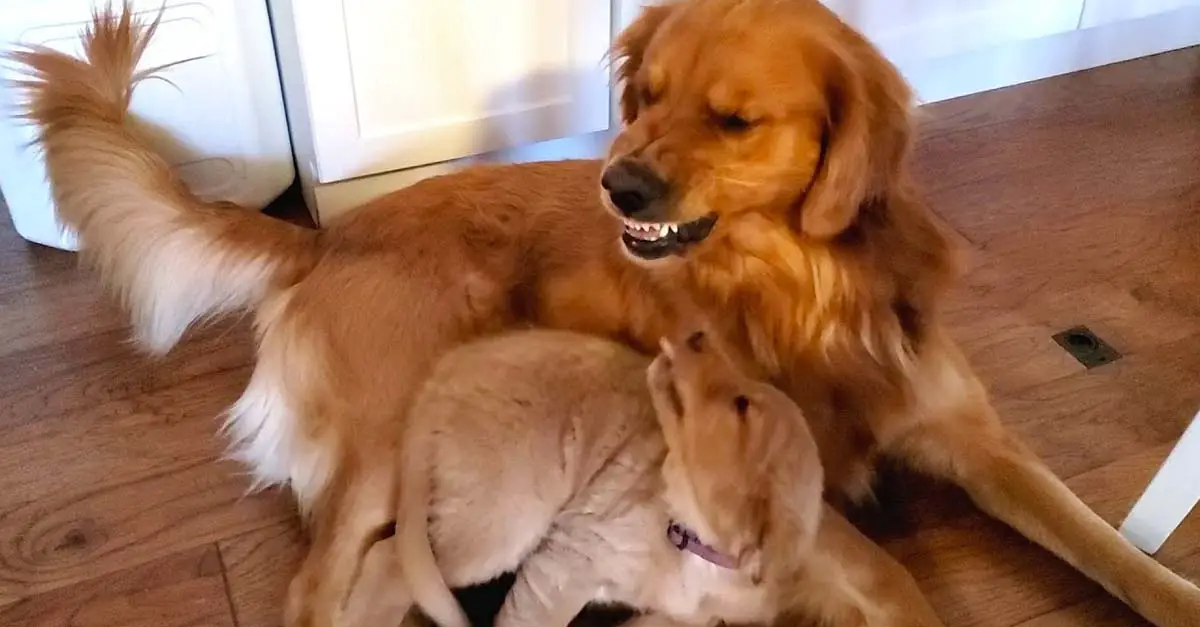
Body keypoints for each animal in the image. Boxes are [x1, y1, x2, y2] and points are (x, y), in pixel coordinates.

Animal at [348, 326, 945, 624]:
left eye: (741, 405)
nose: (698, 334)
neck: (691, 539)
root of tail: (437, 379)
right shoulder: (566, 560)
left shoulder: (688, 617)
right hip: (503, 517)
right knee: (388, 559)